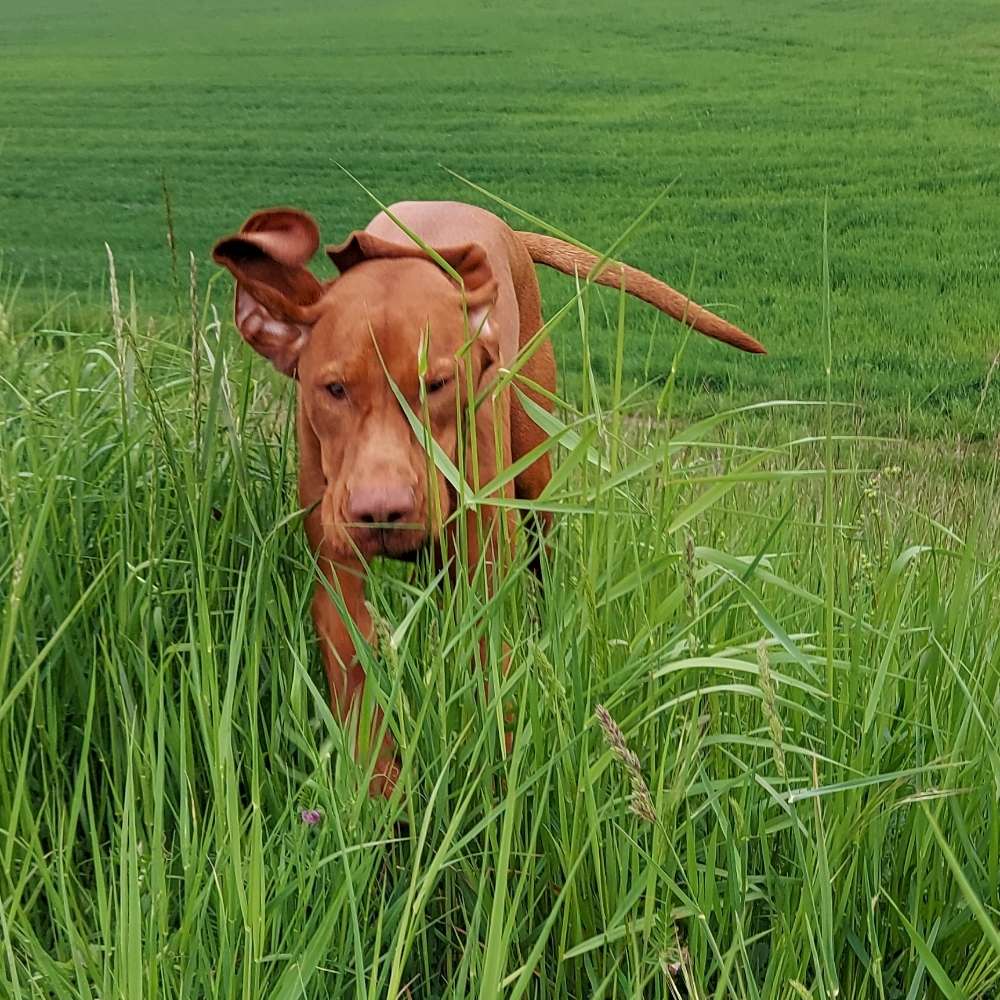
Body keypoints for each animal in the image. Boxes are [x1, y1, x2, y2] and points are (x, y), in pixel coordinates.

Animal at [209, 201, 756, 796]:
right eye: (334, 390)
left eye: (438, 385)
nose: (382, 511)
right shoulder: (337, 578)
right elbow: (357, 684)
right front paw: (379, 795)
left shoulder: (485, 576)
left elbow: (494, 681)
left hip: (537, 476)